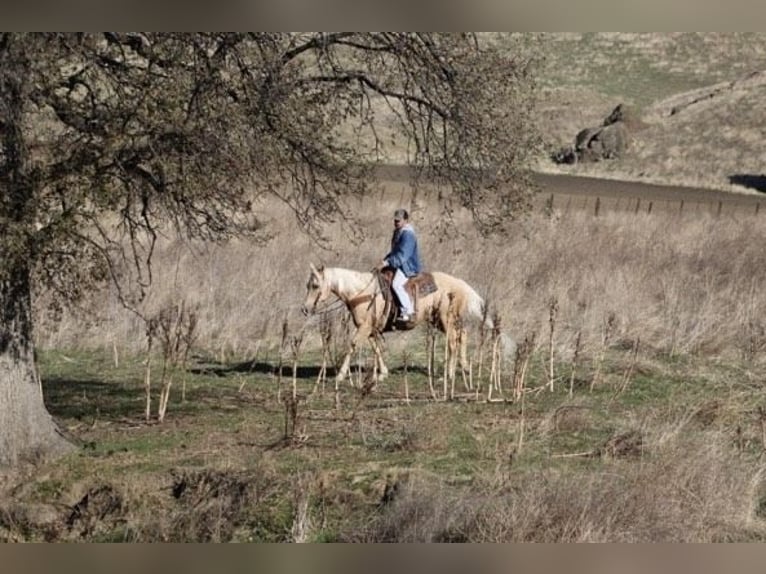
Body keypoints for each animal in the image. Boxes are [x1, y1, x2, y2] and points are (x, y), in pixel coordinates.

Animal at [301, 263, 514, 388]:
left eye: (315, 286)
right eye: (308, 285)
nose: (305, 309)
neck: (363, 293)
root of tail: (461, 284)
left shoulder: (364, 328)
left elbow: (352, 346)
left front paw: (340, 376)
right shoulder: (370, 329)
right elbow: (376, 348)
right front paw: (382, 374)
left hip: (446, 319)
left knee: (453, 342)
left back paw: (449, 375)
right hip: (443, 321)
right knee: (462, 336)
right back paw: (464, 368)